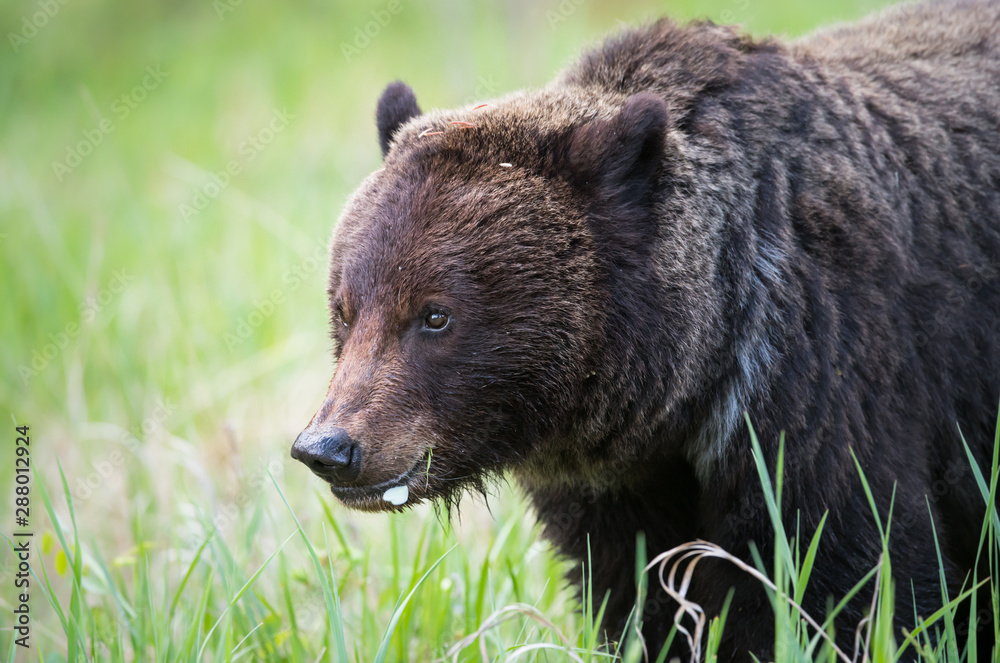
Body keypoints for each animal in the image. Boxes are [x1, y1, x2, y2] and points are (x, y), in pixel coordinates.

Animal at [291, 1, 1000, 660]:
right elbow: (639, 598)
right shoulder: (618, 488)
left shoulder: (829, 385)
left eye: (435, 314)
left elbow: (856, 582)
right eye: (346, 309)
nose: (328, 447)